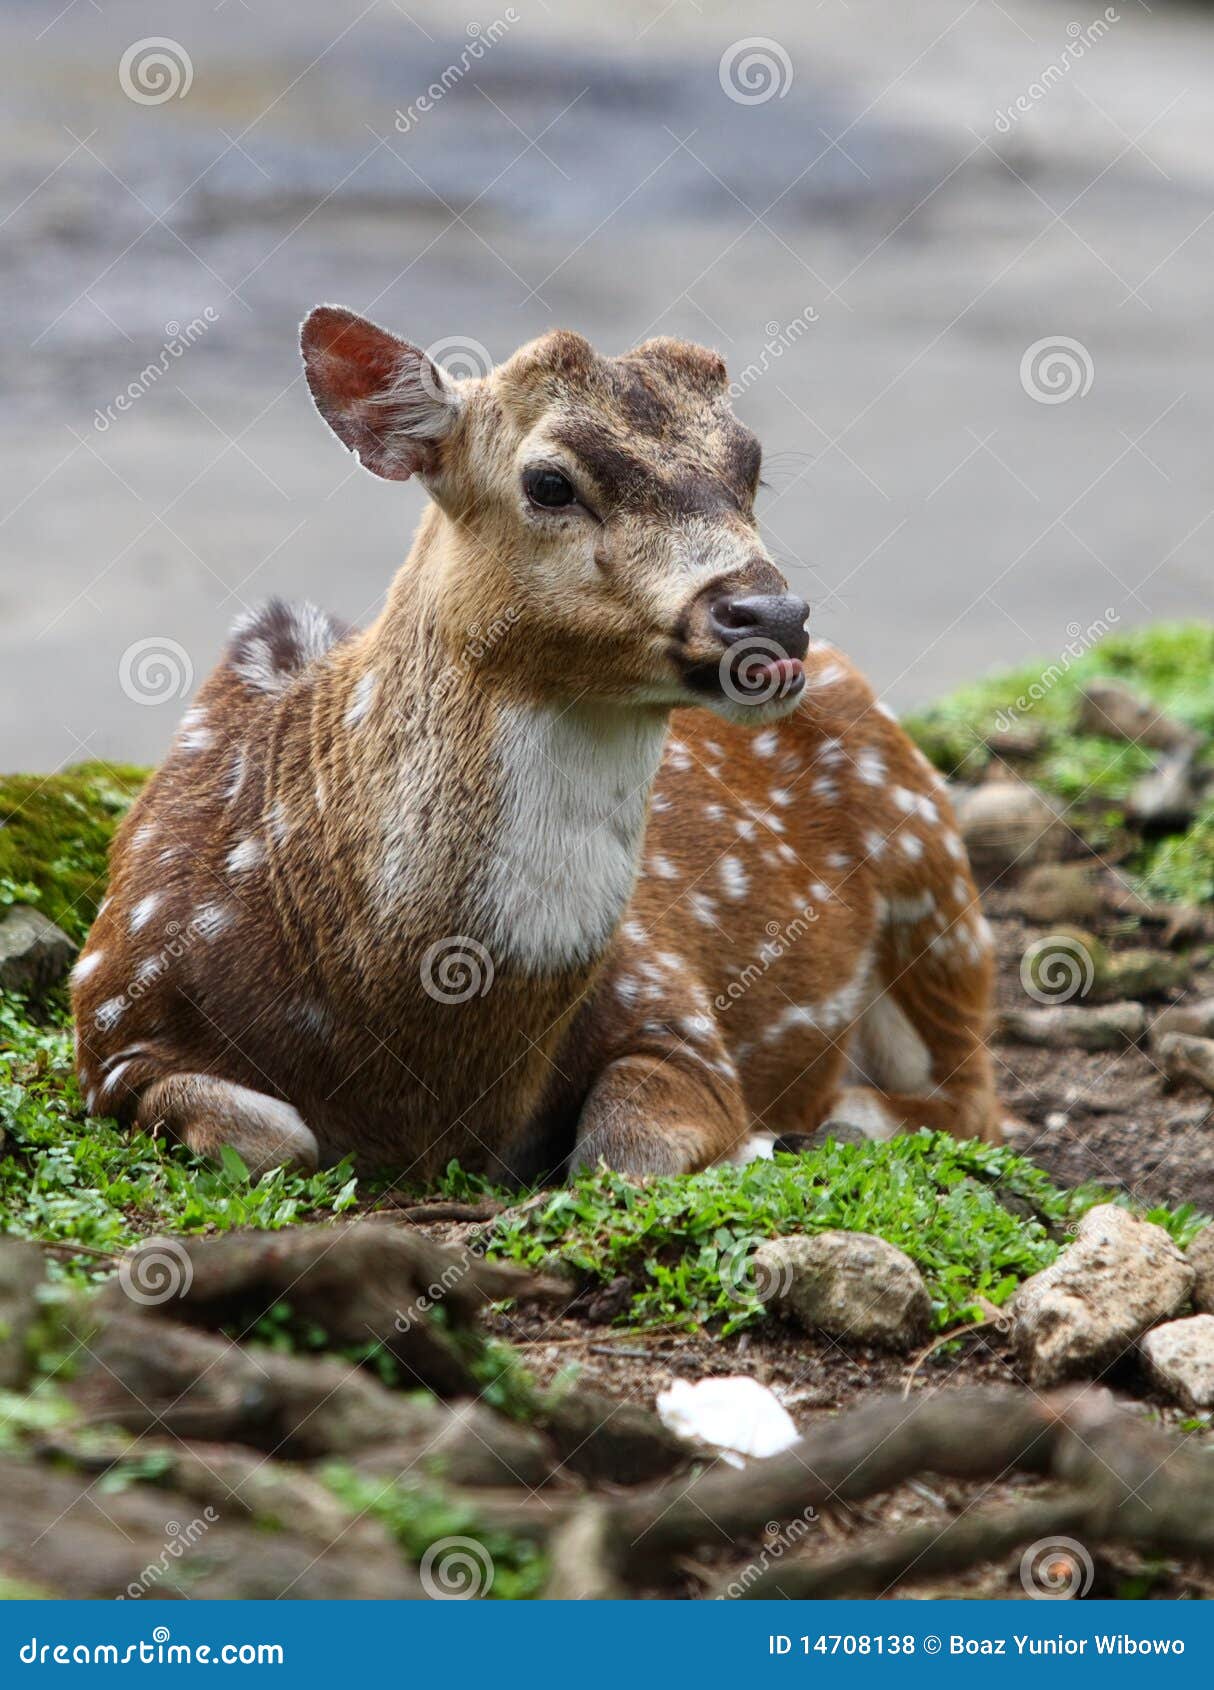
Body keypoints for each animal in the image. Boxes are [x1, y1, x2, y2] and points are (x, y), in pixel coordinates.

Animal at [73, 307, 1000, 1176]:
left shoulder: (670, 996)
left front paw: (753, 1141)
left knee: (973, 1098)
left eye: (751, 466)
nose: (771, 617)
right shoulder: (109, 1029)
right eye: (550, 481)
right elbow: (271, 1134)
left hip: (938, 889)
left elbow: (621, 1143)